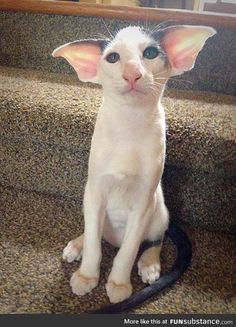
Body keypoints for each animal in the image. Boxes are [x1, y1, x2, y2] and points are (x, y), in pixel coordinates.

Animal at [53, 24, 216, 304]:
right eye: (113, 57)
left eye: (150, 53)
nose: (132, 74)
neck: (129, 123)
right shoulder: (96, 190)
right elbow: (95, 245)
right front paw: (86, 276)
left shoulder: (143, 203)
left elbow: (128, 252)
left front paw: (119, 284)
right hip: (90, 199)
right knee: (94, 232)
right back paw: (78, 243)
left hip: (158, 210)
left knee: (154, 240)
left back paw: (149, 264)